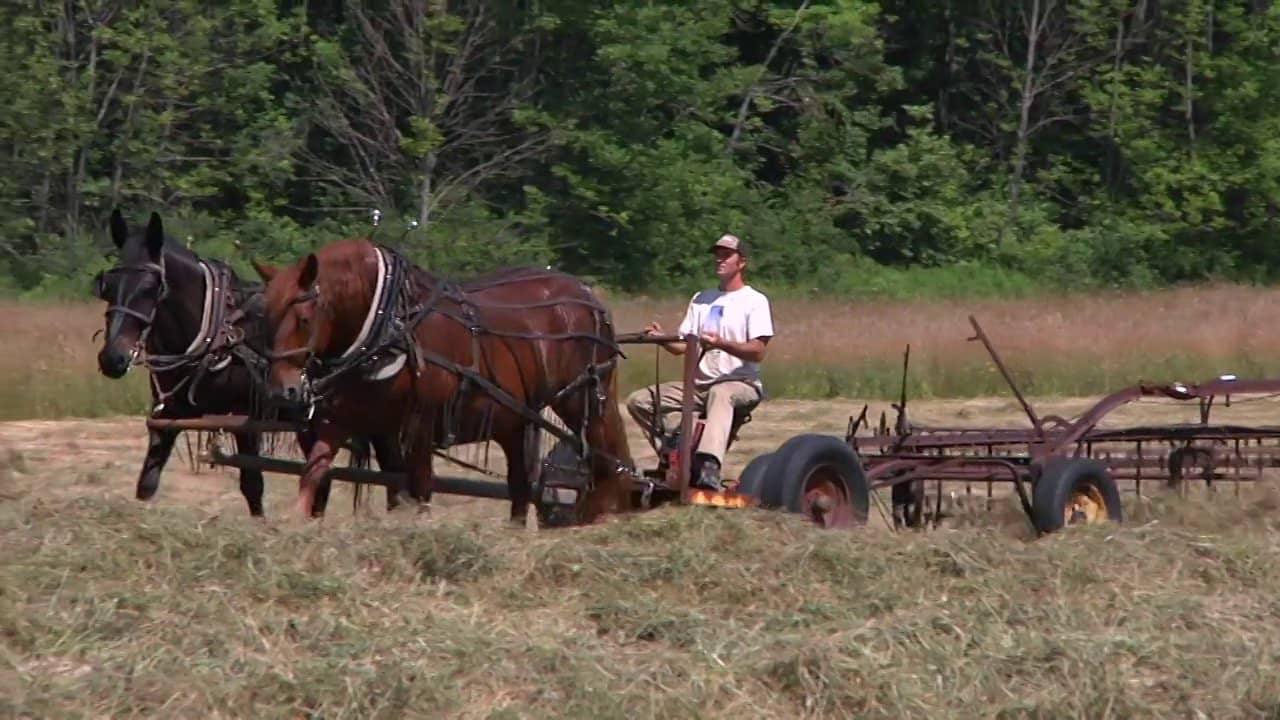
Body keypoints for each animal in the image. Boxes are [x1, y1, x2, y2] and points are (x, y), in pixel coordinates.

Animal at [92, 209, 408, 517]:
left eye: (150, 287)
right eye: (106, 286)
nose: (113, 358)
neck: (215, 333)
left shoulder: (245, 420)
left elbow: (252, 485)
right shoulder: (166, 418)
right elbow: (147, 482)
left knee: (391, 477)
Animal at [251, 236, 635, 525]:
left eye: (303, 319)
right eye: (265, 316)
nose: (281, 391)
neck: (387, 326)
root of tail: (590, 298)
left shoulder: (419, 428)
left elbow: (420, 490)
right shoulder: (352, 423)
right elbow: (316, 474)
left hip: (583, 399)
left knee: (604, 458)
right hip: (514, 418)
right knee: (521, 485)